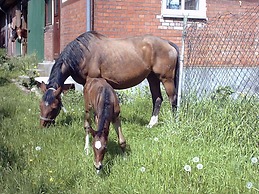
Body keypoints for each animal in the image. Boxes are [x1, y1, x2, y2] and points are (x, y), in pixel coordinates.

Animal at [39, 31, 180, 128]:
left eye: (54, 107)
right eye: (40, 105)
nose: (43, 125)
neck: (83, 53)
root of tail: (168, 43)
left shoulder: (93, 80)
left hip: (166, 79)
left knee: (172, 98)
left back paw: (174, 123)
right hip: (152, 78)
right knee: (157, 99)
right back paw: (151, 124)